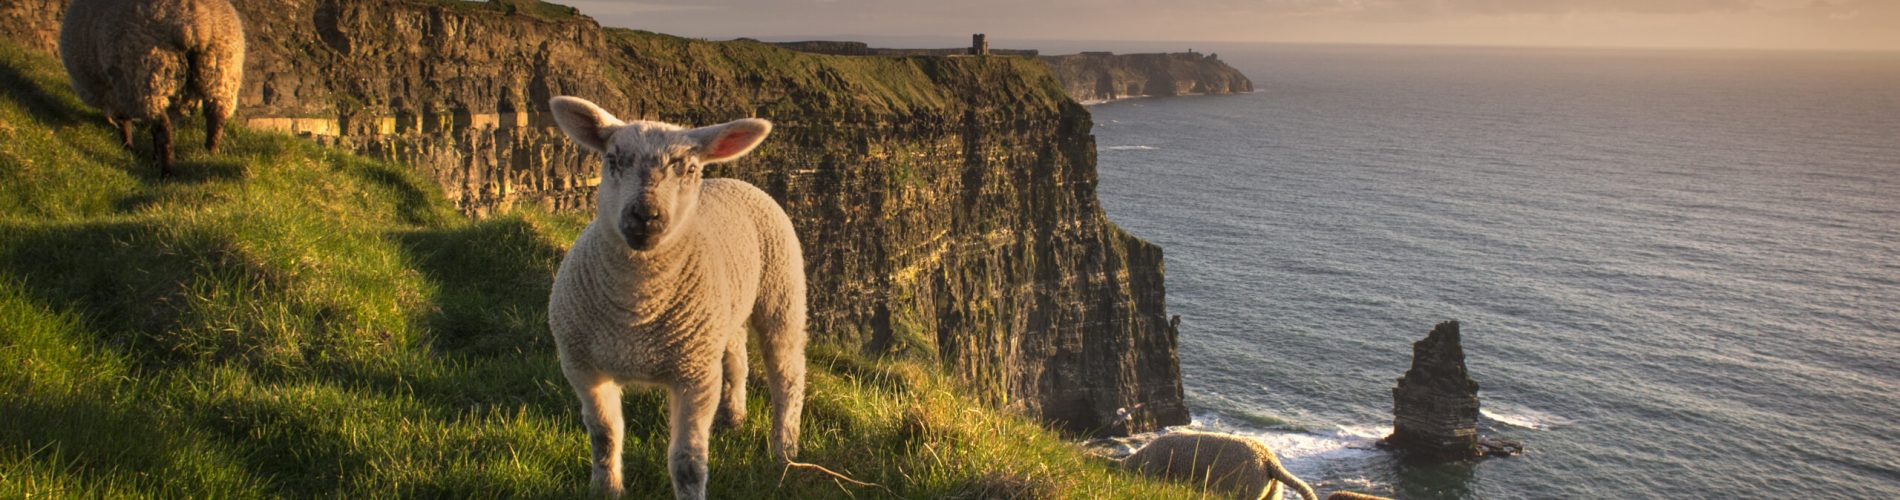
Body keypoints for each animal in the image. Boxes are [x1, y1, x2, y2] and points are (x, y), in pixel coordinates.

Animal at [59, 0, 247, 178]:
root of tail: (196, 21)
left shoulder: (118, 89)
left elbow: (125, 121)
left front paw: (127, 147)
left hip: (149, 73)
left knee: (162, 127)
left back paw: (167, 170)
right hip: (221, 71)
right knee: (215, 119)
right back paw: (209, 153)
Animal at [543, 95, 801, 500]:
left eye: (690, 169)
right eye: (613, 159)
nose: (645, 216)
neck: (636, 309)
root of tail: (732, 178)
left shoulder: (694, 377)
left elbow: (688, 461)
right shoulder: (582, 368)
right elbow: (604, 435)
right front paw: (607, 488)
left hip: (782, 292)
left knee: (787, 374)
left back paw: (785, 449)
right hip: (722, 315)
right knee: (737, 359)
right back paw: (733, 417)